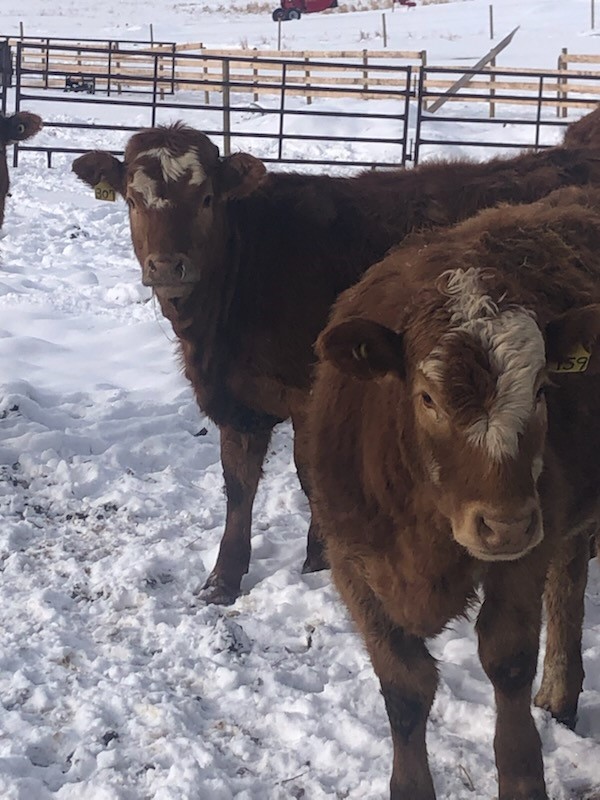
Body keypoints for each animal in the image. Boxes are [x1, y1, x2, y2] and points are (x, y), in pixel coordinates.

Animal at [71, 118, 600, 605]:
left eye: (205, 200)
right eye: (132, 201)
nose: (167, 266)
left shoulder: (311, 396)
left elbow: (310, 478)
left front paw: (317, 558)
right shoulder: (239, 402)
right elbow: (238, 487)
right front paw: (222, 578)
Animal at [308, 184, 600, 800]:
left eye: (542, 389)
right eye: (427, 398)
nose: (505, 523)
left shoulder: (525, 547)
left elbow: (507, 659)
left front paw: (522, 777)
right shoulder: (351, 559)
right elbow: (404, 686)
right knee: (569, 574)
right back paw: (559, 693)